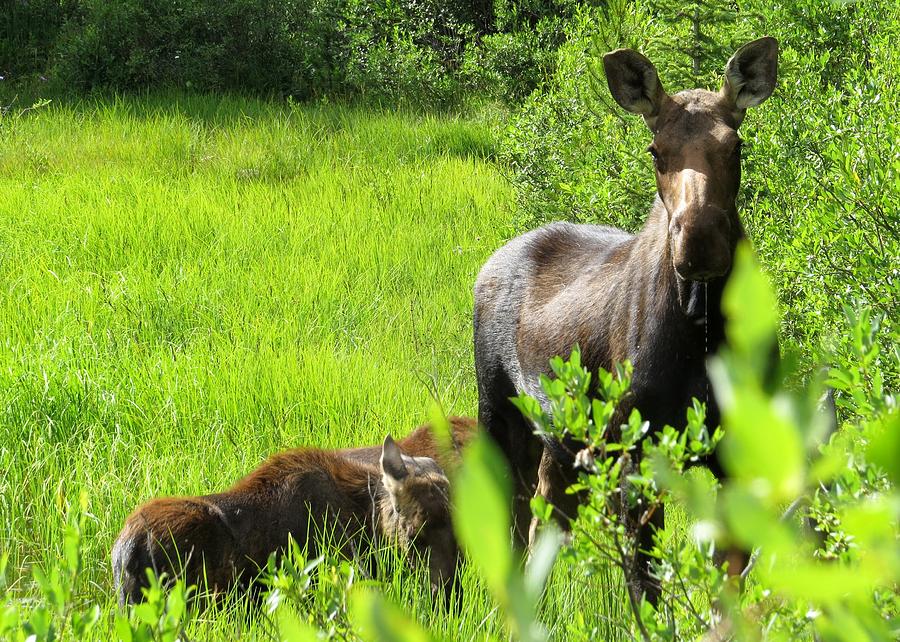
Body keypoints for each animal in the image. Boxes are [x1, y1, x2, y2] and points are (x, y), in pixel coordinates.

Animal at [472, 38, 780, 600]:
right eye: (655, 150)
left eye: (736, 146)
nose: (699, 242)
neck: (701, 328)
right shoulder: (633, 446)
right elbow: (646, 581)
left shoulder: (736, 448)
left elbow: (729, 578)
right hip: (498, 413)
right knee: (510, 525)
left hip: (561, 439)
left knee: (545, 520)